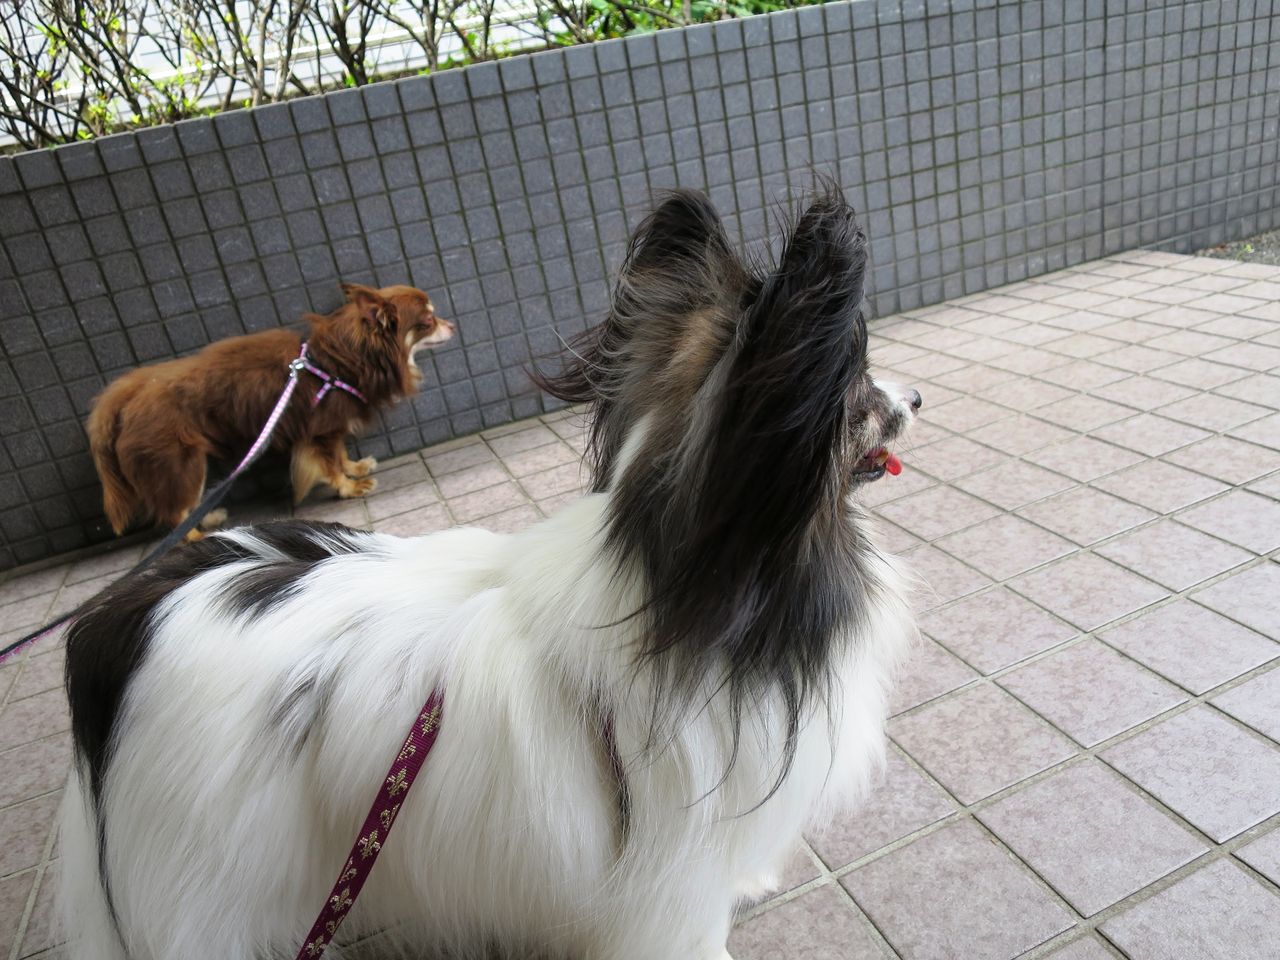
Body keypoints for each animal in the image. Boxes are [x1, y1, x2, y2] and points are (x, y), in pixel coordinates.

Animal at [86, 283, 454, 539]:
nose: (453, 324)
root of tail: (126, 394)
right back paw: (198, 536)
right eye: (428, 320)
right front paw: (348, 487)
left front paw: (356, 467)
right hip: (183, 464)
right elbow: (329, 463)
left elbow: (340, 453)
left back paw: (211, 518)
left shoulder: (332, 427)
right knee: (175, 513)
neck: (341, 360)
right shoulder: (319, 430)